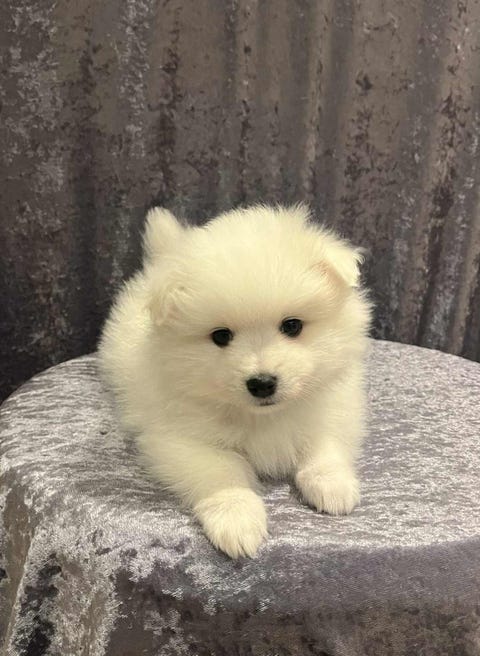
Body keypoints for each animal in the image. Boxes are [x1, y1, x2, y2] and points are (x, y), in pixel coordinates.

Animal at [98, 204, 371, 558]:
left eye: (292, 326)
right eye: (221, 336)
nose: (262, 383)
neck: (262, 416)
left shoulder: (333, 406)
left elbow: (324, 444)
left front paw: (332, 484)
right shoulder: (180, 438)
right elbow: (221, 472)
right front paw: (237, 519)